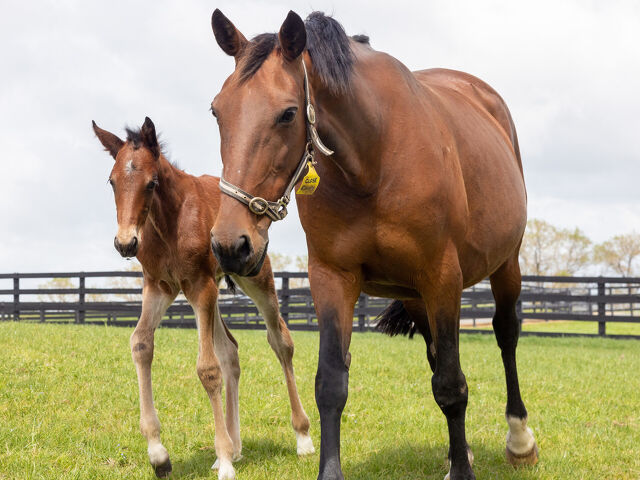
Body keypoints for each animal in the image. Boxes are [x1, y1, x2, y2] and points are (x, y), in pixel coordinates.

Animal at [92, 117, 314, 480]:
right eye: (112, 182)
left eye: (152, 183)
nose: (126, 243)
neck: (168, 222)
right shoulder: (159, 286)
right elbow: (141, 344)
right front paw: (159, 454)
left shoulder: (199, 286)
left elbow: (208, 369)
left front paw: (223, 460)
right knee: (231, 351)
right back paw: (236, 446)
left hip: (255, 278)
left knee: (280, 341)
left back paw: (302, 438)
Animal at [207, 10, 538, 480]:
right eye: (218, 111)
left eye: (288, 114)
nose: (230, 244)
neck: (373, 159)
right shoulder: (332, 277)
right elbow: (331, 382)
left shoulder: (442, 277)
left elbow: (452, 384)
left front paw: (465, 469)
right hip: (416, 294)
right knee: (436, 355)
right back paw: (459, 450)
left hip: (505, 264)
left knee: (505, 335)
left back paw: (519, 440)